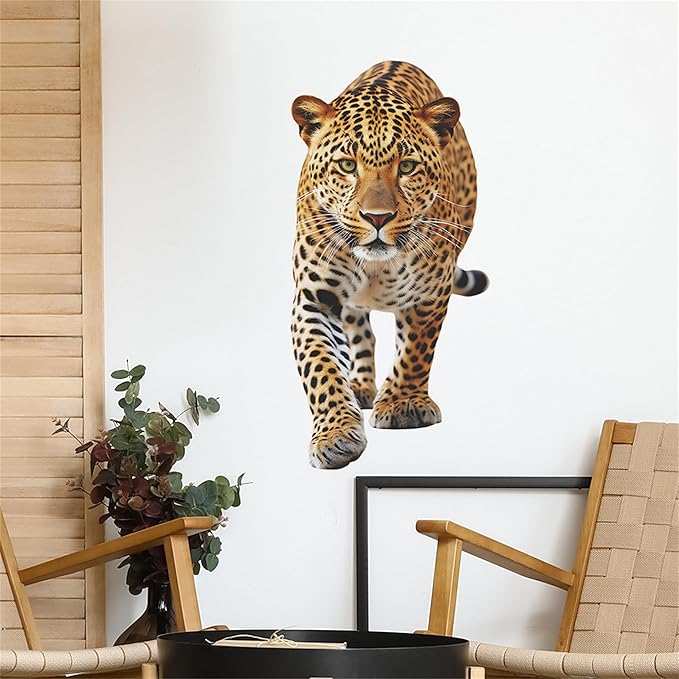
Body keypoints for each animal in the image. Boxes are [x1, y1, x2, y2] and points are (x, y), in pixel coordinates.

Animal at [291, 61, 488, 470]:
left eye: (408, 166)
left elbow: (415, 350)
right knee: (360, 334)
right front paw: (335, 435)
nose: (377, 217)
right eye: (347, 165)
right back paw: (360, 386)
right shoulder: (315, 300)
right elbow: (321, 367)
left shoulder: (431, 294)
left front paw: (403, 405)